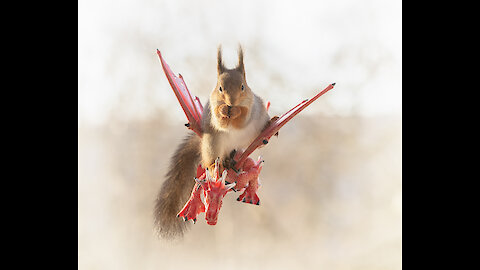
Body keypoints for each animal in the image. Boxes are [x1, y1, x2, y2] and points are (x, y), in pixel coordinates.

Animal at [156, 46, 272, 238]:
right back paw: (219, 164)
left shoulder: (250, 107)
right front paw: (224, 110)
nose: (231, 103)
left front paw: (236, 111)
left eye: (243, 87)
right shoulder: (212, 108)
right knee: (215, 159)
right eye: (220, 88)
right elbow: (218, 117)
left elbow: (243, 116)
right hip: (212, 143)